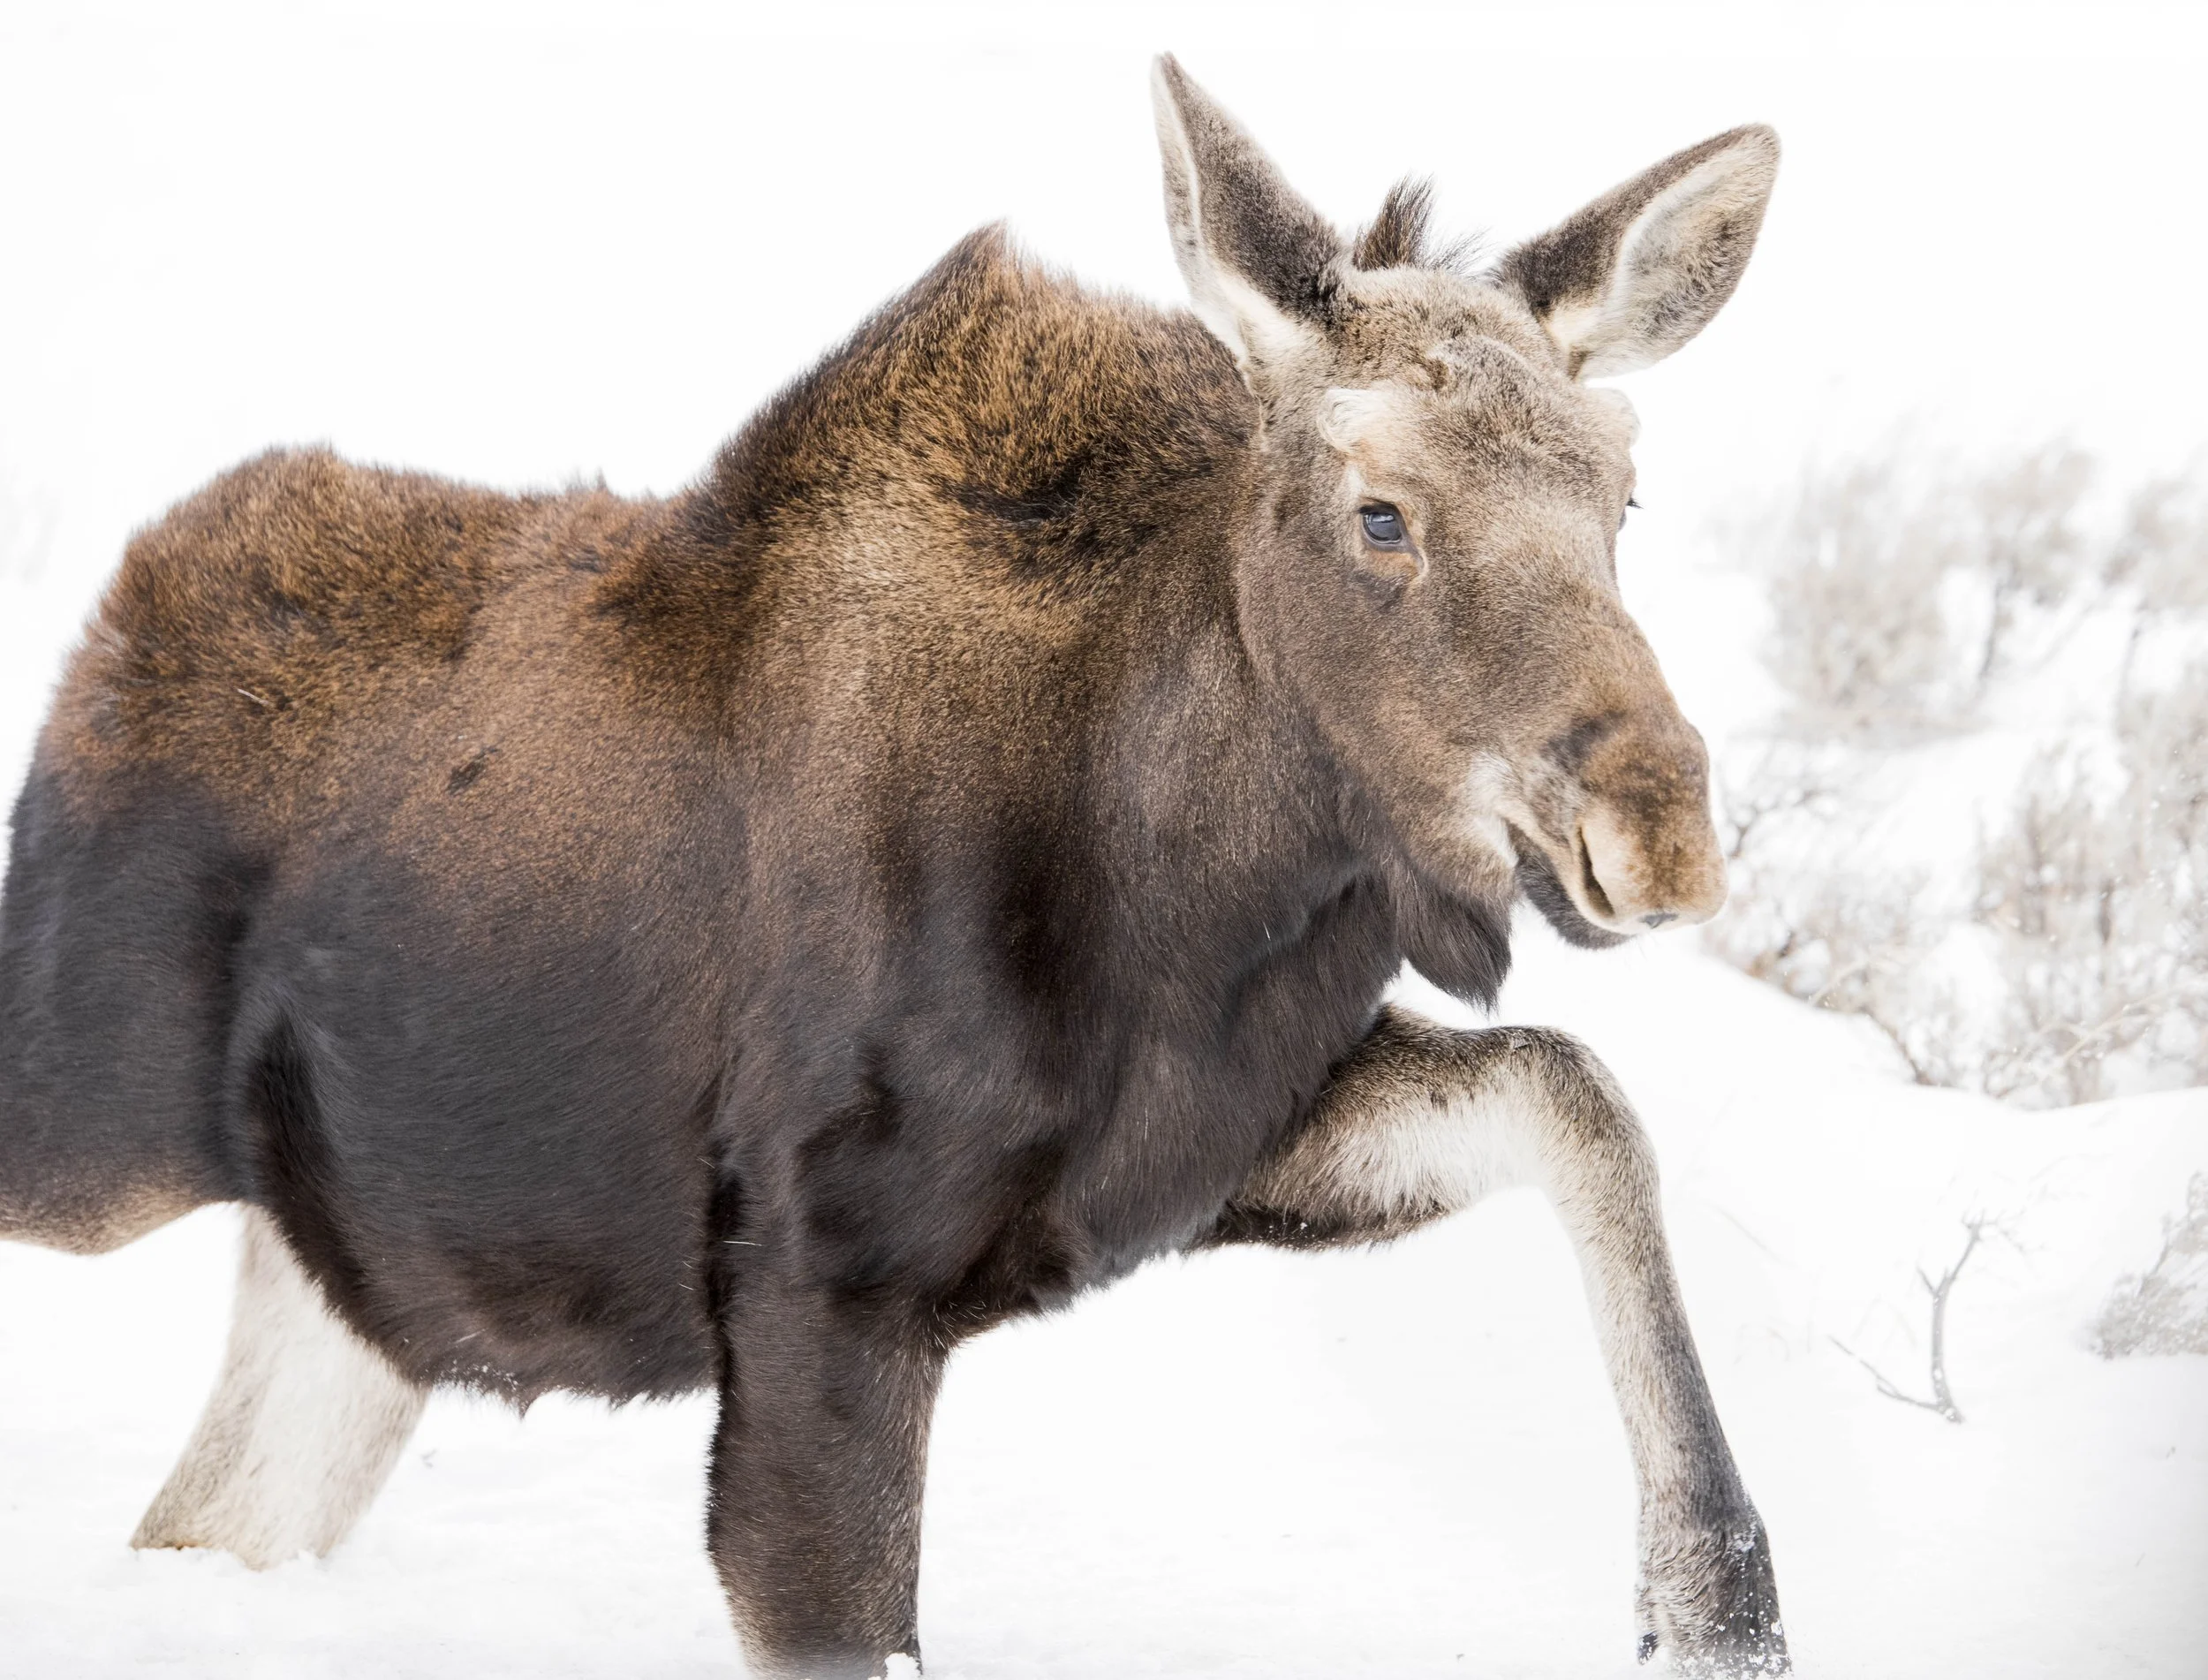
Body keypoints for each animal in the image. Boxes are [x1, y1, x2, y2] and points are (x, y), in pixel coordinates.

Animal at [0, 56, 1786, 1678]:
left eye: (1624, 496)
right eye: (1383, 516)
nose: (1660, 824)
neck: (1182, 881)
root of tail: (108, 639)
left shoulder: (1190, 1149)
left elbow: (1577, 1097)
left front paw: (1717, 1601)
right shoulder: (820, 1282)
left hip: (364, 1280)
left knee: (201, 1519)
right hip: (91, 1146)